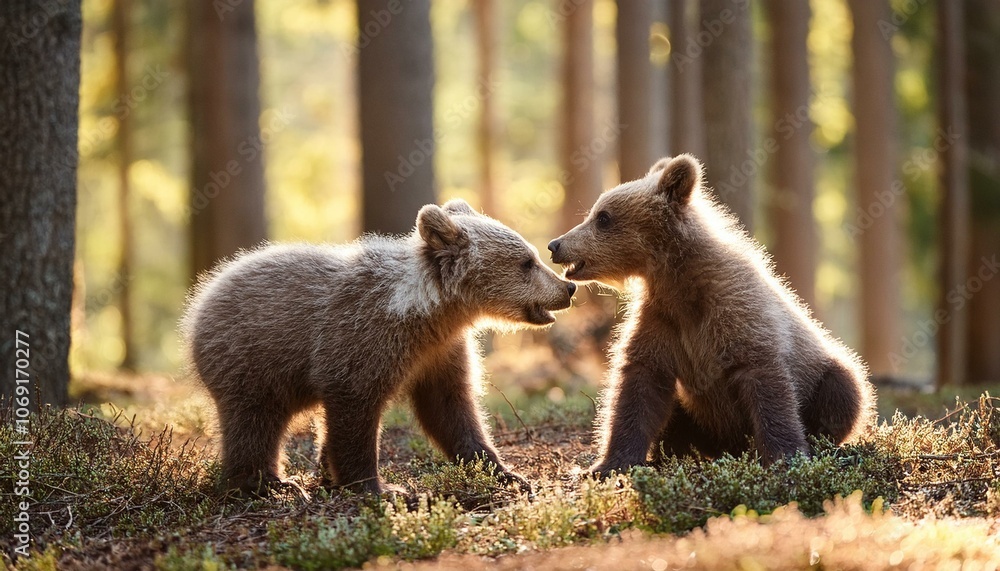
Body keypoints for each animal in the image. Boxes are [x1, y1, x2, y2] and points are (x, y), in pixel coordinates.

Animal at [182, 199, 576, 495]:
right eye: (526, 262)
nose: (567, 288)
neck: (429, 314)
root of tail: (200, 299)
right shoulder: (360, 340)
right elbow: (355, 412)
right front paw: (378, 487)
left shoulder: (440, 352)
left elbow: (452, 409)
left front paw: (506, 472)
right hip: (251, 358)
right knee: (254, 423)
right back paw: (267, 483)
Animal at [547, 154, 875, 475]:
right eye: (595, 212)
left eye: (603, 217)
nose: (555, 244)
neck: (680, 282)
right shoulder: (662, 321)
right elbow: (639, 385)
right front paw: (609, 463)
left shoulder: (738, 314)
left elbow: (766, 381)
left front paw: (784, 458)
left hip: (825, 370)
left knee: (844, 389)